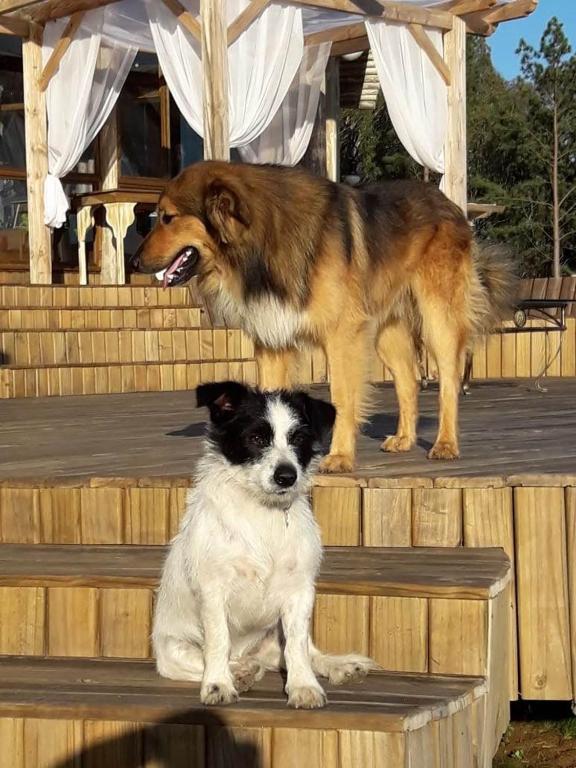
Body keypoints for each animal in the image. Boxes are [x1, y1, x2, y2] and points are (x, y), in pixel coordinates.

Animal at [134, 161, 512, 472]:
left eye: (168, 218)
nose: (135, 262)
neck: (261, 240)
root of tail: (448, 203)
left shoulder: (342, 335)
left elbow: (342, 397)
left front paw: (340, 456)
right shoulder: (272, 339)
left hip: (437, 318)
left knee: (448, 381)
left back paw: (446, 443)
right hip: (386, 330)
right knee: (409, 381)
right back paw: (405, 439)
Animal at [153, 380, 376, 712]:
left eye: (298, 438)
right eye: (256, 438)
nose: (287, 476)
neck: (263, 513)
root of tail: (251, 652)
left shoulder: (300, 590)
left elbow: (297, 646)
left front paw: (303, 686)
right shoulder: (213, 590)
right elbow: (217, 642)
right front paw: (218, 685)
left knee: (294, 653)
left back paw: (337, 665)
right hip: (172, 649)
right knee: (216, 658)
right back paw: (240, 672)